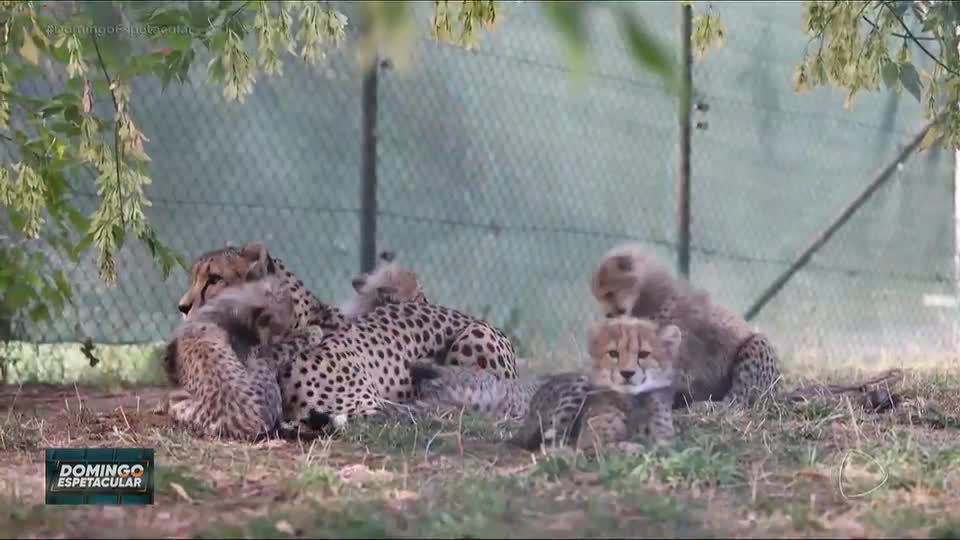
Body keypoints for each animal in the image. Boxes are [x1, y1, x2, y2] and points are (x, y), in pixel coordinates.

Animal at [509, 316, 682, 452]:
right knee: (550, 441)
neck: (632, 399)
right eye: (613, 353)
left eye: (643, 354)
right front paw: (634, 447)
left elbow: (660, 444)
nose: (627, 373)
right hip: (580, 384)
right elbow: (612, 446)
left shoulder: (665, 438)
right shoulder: (590, 441)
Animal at [590, 242, 782, 409]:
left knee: (737, 400)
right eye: (600, 296)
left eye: (609, 293)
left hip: (757, 344)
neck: (647, 296)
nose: (608, 314)